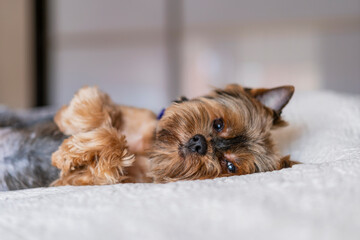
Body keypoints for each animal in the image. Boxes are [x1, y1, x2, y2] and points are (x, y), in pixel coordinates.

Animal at [50, 83, 298, 187]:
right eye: (219, 124)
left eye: (229, 166)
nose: (199, 144)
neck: (153, 150)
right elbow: (98, 106)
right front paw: (69, 142)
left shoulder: (98, 178)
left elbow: (114, 143)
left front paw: (68, 153)